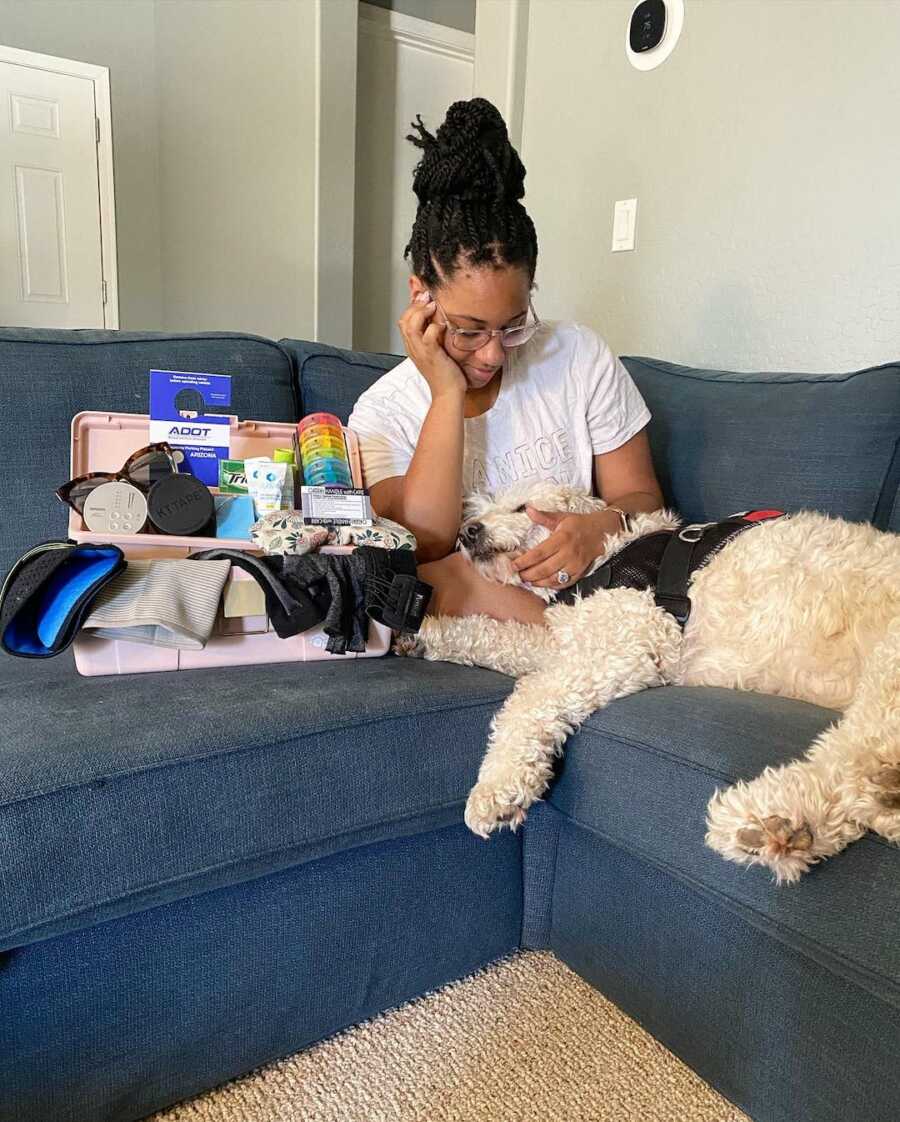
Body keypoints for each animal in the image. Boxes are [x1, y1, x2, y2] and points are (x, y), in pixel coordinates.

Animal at [397, 482, 897, 884]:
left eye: (521, 507)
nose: (469, 531)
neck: (607, 556)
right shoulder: (571, 637)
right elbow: (499, 637)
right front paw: (425, 634)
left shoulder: (628, 641)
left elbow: (528, 700)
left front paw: (496, 790)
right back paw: (801, 831)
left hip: (887, 666)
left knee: (861, 756)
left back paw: (773, 817)